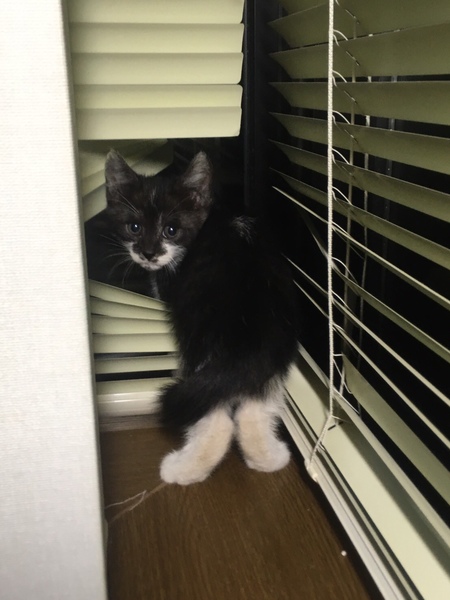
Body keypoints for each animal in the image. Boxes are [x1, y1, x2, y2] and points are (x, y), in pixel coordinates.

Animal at [104, 150, 298, 485]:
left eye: (171, 230)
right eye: (134, 227)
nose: (148, 253)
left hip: (199, 334)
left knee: (217, 417)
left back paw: (182, 470)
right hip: (278, 341)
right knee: (253, 403)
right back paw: (267, 459)